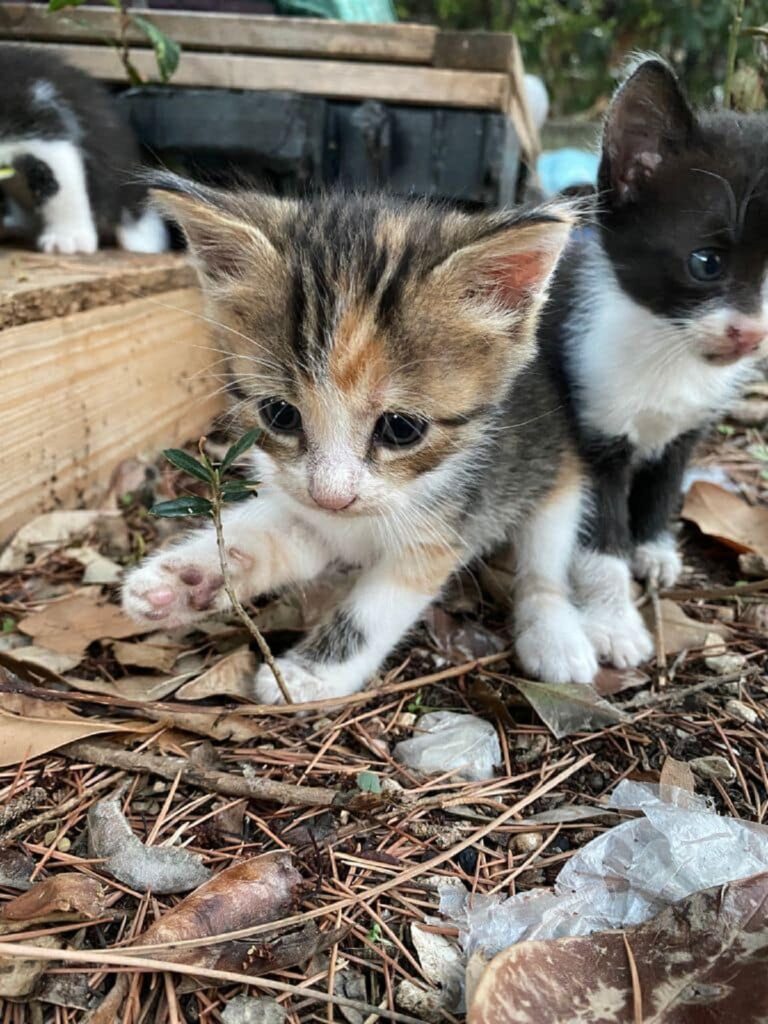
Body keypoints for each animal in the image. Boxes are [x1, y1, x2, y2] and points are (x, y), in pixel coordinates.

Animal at [124, 178, 589, 704]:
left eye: (401, 429)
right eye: (280, 414)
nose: (332, 497)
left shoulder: (444, 527)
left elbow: (375, 609)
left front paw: (312, 673)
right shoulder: (308, 506)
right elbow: (279, 534)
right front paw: (189, 577)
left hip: (555, 472)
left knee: (545, 563)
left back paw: (554, 634)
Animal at [536, 56, 768, 667]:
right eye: (705, 263)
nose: (752, 334)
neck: (668, 348)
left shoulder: (689, 425)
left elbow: (665, 481)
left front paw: (654, 547)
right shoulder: (589, 424)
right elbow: (599, 532)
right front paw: (614, 622)